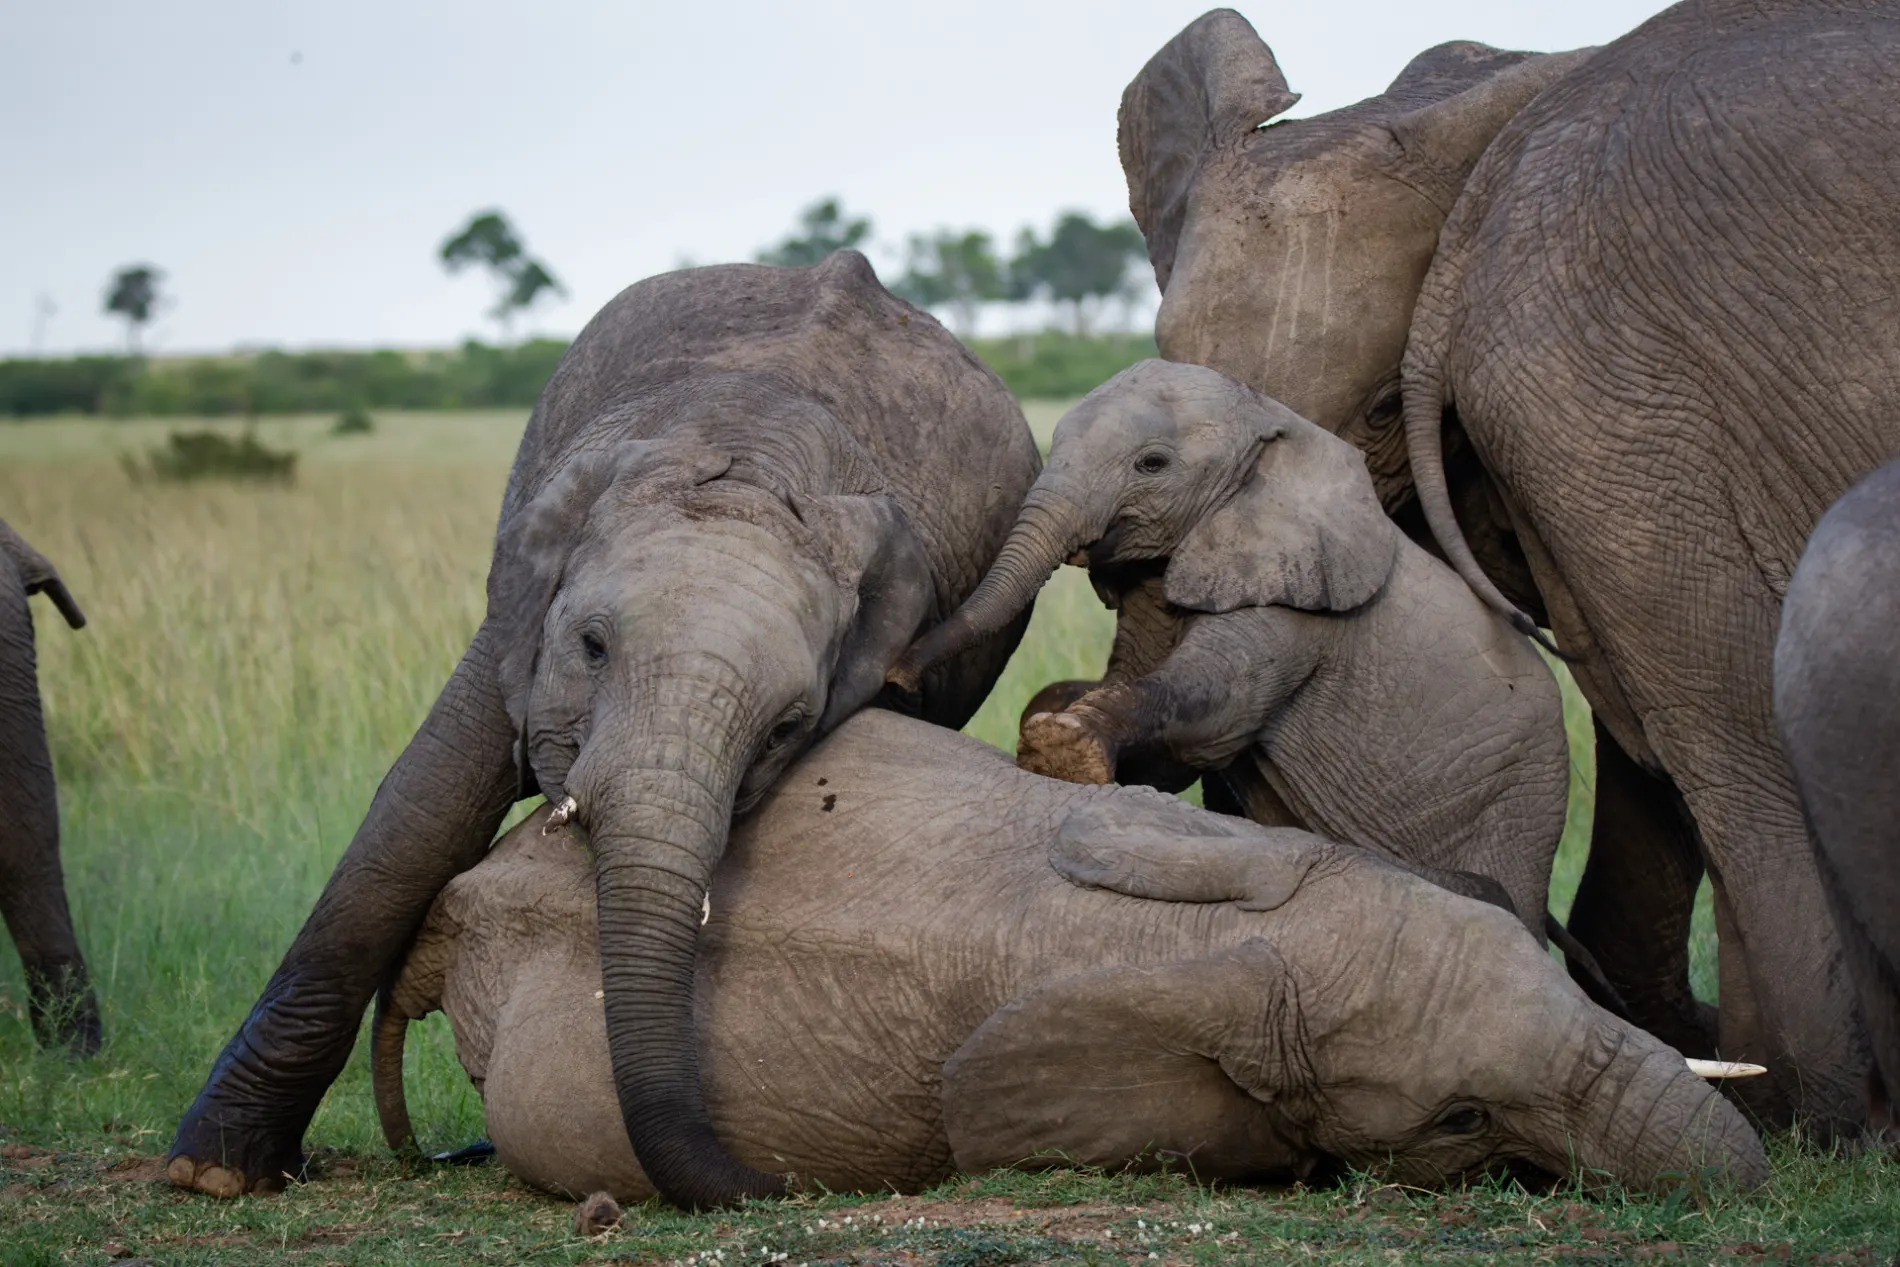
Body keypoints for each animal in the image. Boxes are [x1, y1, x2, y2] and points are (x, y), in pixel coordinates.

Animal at [167, 250, 1041, 1208]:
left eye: (787, 727)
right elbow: (418, 818)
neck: (752, 465)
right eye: (591, 646)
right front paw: (213, 1171)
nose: (783, 1179)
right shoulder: (518, 623)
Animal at [896, 357, 1565, 942]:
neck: (1274, 424)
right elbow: (1162, 746)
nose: (900, 672)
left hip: (1515, 814)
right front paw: (1059, 715)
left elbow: (1218, 707)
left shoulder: (1294, 602)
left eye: (1152, 464)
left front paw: (1059, 746)